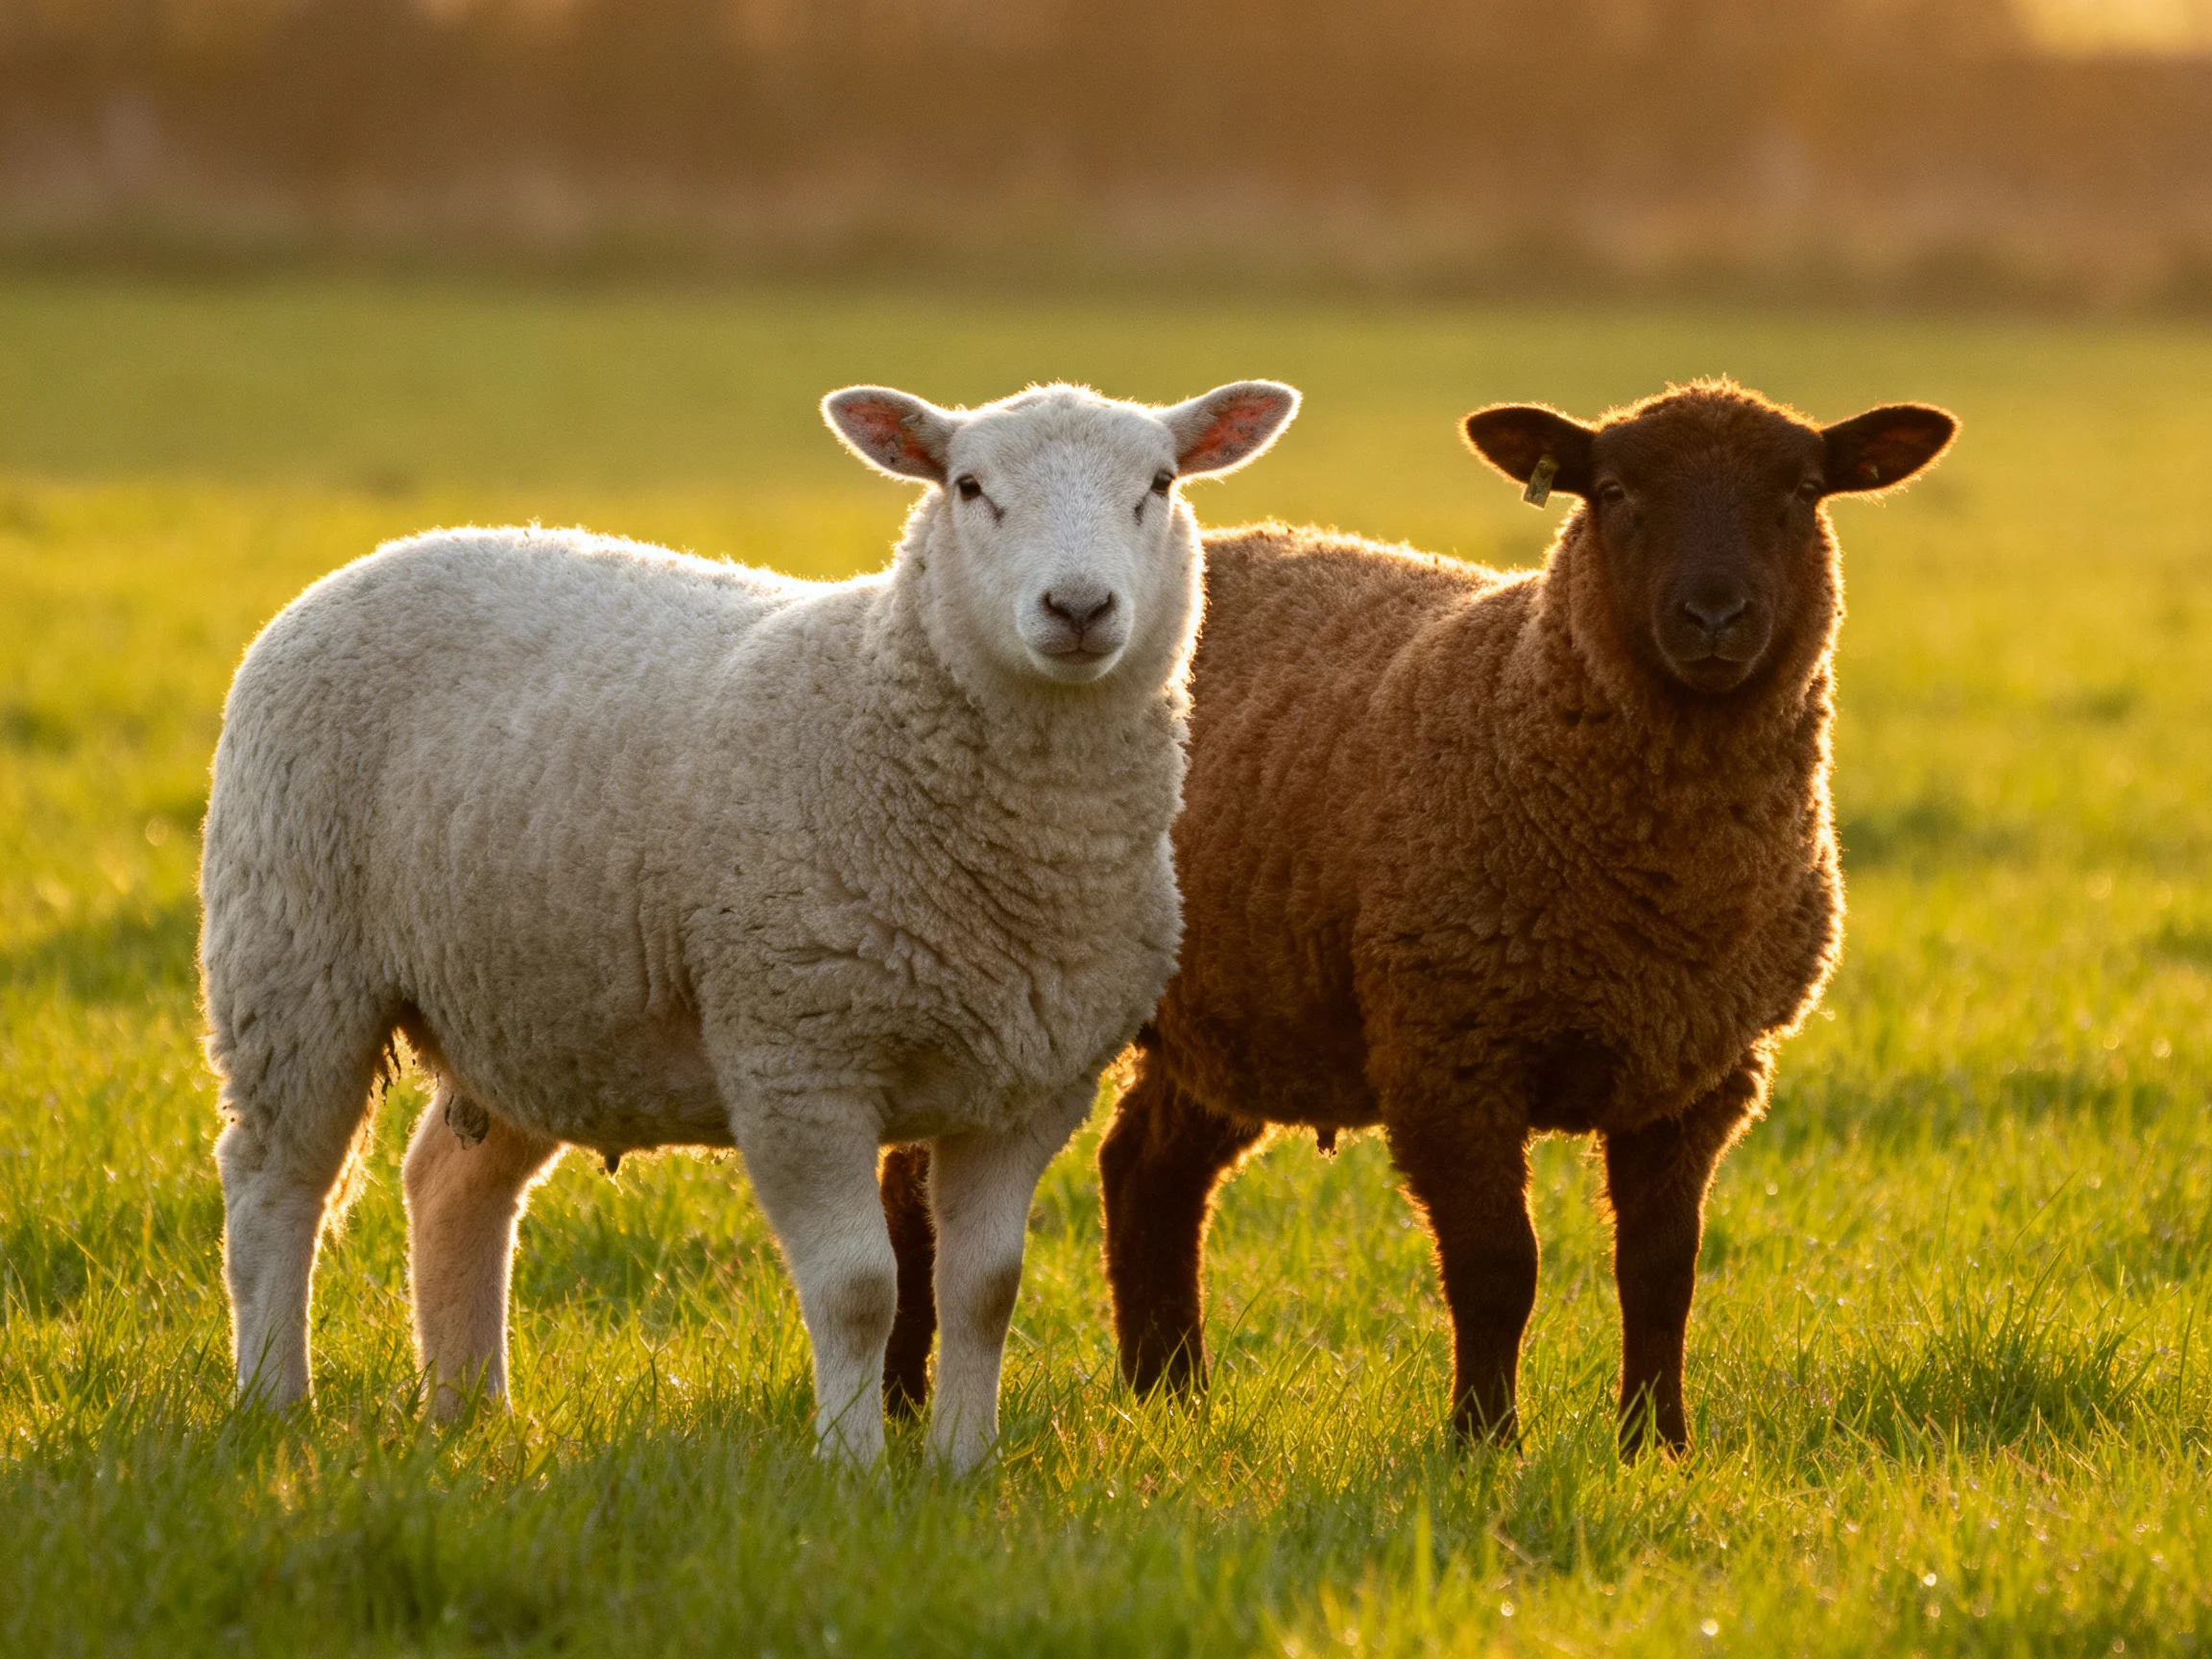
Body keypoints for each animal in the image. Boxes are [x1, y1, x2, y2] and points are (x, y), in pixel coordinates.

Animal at [198, 376, 1300, 1471]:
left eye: (1159, 484)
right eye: (970, 486)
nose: (1078, 608)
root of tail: (386, 554)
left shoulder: (1029, 1088)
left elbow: (985, 1291)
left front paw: (963, 1466)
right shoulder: (798, 1061)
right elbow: (859, 1291)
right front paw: (853, 1469)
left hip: (531, 1006)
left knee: (449, 1183)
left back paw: (472, 1414)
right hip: (291, 956)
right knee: (273, 1187)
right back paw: (274, 1403)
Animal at [877, 380, 1954, 1453]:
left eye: (1803, 491)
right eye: (1613, 491)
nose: (1716, 617)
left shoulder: (1702, 1075)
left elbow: (1661, 1273)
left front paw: (1657, 1445)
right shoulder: (1450, 1051)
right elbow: (1496, 1267)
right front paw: (1484, 1442)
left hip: (1246, 1005)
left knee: (1147, 1171)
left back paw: (1170, 1396)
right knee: (917, 1194)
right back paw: (902, 1398)